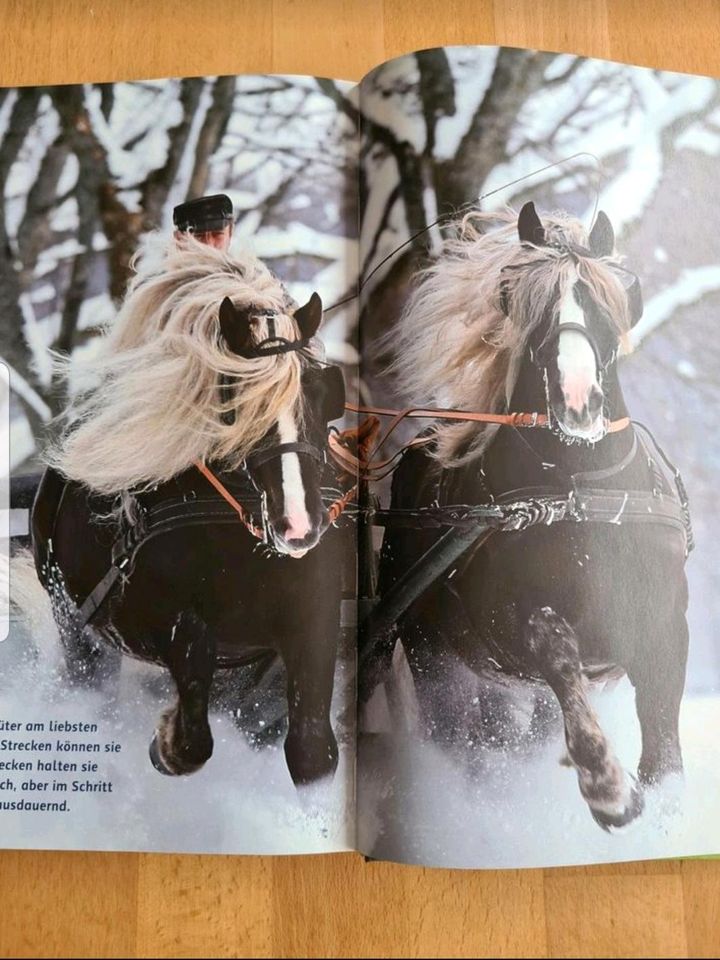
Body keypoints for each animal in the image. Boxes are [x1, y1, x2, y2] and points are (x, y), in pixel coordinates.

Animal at [31, 234, 352, 788]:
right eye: (234, 398)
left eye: (320, 391)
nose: (298, 526)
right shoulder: (171, 623)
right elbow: (191, 742)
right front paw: (166, 741)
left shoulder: (311, 617)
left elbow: (312, 752)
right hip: (76, 628)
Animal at [372, 204, 692, 832]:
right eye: (524, 301)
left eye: (610, 300)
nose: (578, 402)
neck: (587, 496)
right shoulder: (510, 628)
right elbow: (553, 643)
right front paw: (606, 785)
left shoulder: (666, 628)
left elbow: (665, 759)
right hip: (437, 661)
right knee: (468, 749)